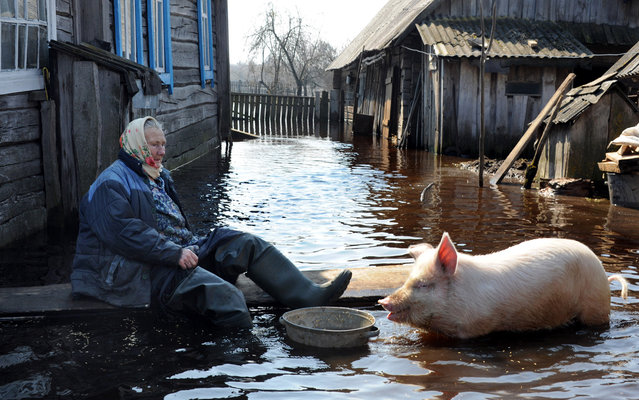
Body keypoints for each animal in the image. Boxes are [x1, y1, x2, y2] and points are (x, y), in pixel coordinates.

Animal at [380, 233, 632, 340]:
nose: (384, 301)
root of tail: (604, 277)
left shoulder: (473, 328)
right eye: (407, 280)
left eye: (423, 284)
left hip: (595, 309)